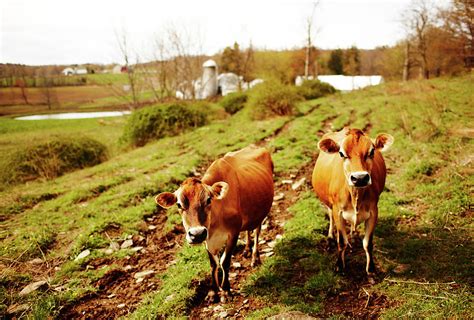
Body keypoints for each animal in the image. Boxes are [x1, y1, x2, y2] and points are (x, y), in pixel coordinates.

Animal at [156, 145, 274, 302]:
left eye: (208, 200)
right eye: (179, 205)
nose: (197, 234)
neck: (215, 222)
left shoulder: (233, 233)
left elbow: (224, 261)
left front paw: (226, 290)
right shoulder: (208, 238)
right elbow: (213, 264)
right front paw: (213, 292)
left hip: (261, 212)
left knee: (257, 231)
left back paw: (255, 257)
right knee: (249, 229)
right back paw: (247, 250)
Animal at [312, 127, 394, 276]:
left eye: (371, 152)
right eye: (341, 153)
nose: (360, 178)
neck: (356, 195)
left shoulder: (373, 211)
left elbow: (368, 243)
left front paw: (371, 269)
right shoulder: (337, 211)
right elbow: (342, 242)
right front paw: (339, 266)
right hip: (329, 203)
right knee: (330, 217)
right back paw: (330, 238)